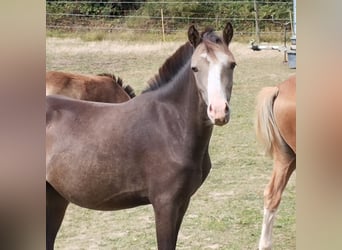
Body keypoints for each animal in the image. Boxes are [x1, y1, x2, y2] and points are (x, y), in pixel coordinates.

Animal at [46, 22, 236, 250]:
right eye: (195, 68)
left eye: (232, 65)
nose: (218, 112)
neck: (171, 126)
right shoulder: (165, 203)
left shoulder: (183, 202)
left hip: (55, 197)